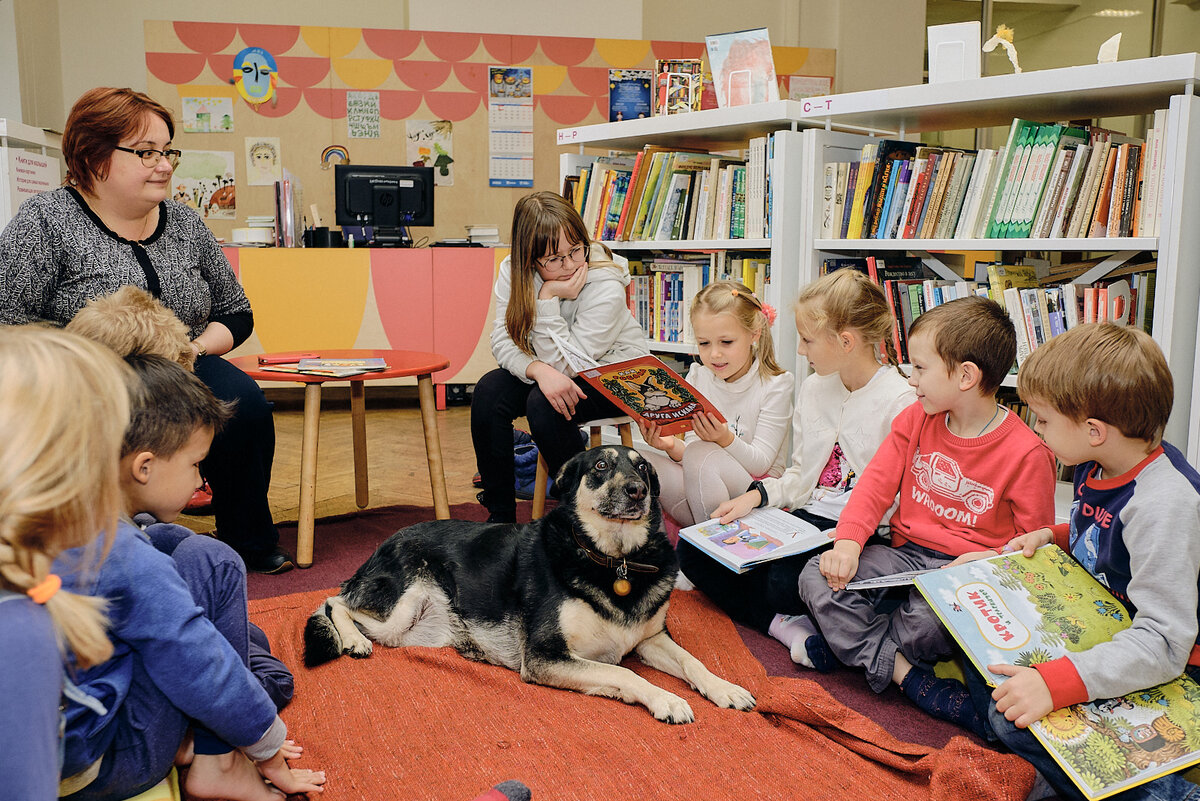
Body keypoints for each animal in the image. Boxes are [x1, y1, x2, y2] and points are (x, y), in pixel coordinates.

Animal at [304, 448, 753, 724]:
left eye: (642, 468)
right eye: (601, 467)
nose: (638, 491)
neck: (613, 559)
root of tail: (382, 544)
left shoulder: (651, 639)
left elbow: (693, 662)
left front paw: (725, 688)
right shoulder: (544, 656)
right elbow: (626, 674)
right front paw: (667, 698)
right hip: (402, 605)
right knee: (335, 601)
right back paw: (353, 640)